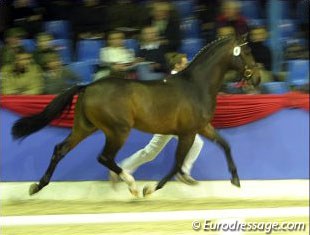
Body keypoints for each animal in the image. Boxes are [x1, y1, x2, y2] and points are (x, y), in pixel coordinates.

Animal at [11, 35, 260, 196]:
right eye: (247, 52)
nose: (256, 78)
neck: (196, 85)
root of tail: (88, 86)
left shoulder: (201, 128)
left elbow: (225, 145)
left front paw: (235, 180)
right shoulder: (188, 133)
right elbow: (177, 163)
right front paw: (150, 188)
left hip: (85, 127)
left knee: (60, 150)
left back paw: (37, 186)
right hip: (118, 130)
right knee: (104, 157)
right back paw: (130, 184)